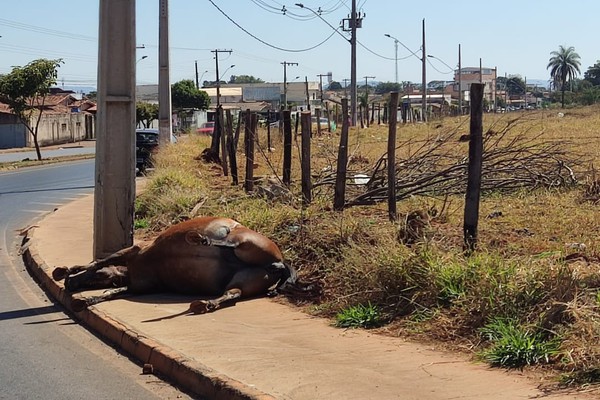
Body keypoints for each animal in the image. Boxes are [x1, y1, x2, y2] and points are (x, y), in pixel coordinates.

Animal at [51, 217, 314, 314]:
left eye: (99, 278)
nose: (70, 286)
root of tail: (279, 262)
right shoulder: (141, 286)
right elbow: (113, 292)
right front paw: (88, 299)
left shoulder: (131, 251)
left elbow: (99, 262)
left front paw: (72, 276)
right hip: (246, 279)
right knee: (233, 293)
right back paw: (205, 304)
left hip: (244, 241)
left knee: (226, 243)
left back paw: (200, 239)